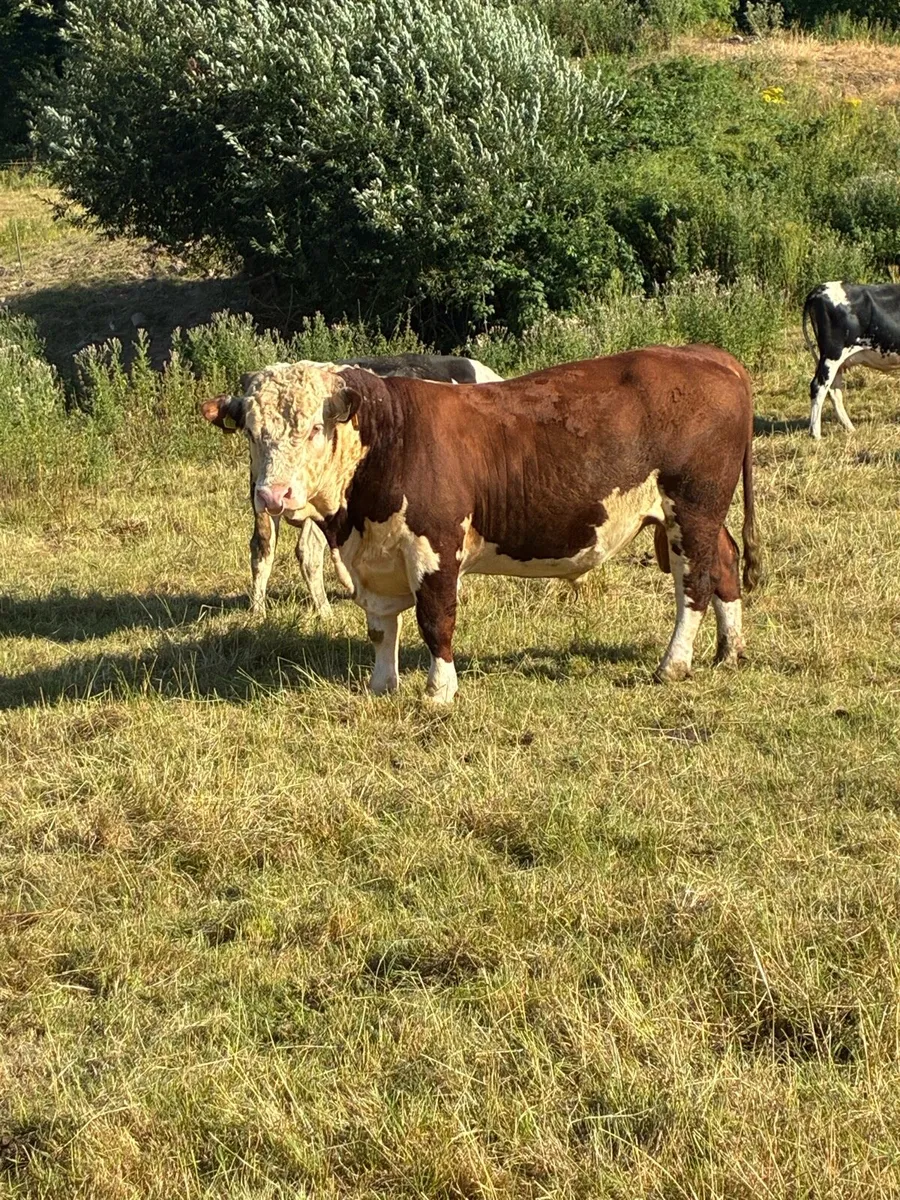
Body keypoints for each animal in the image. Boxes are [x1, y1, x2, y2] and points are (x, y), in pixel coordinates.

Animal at [804, 281, 900, 438]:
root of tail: (820, 289)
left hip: (836, 361)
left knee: (834, 391)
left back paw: (850, 428)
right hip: (833, 354)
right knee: (818, 387)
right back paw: (816, 435)